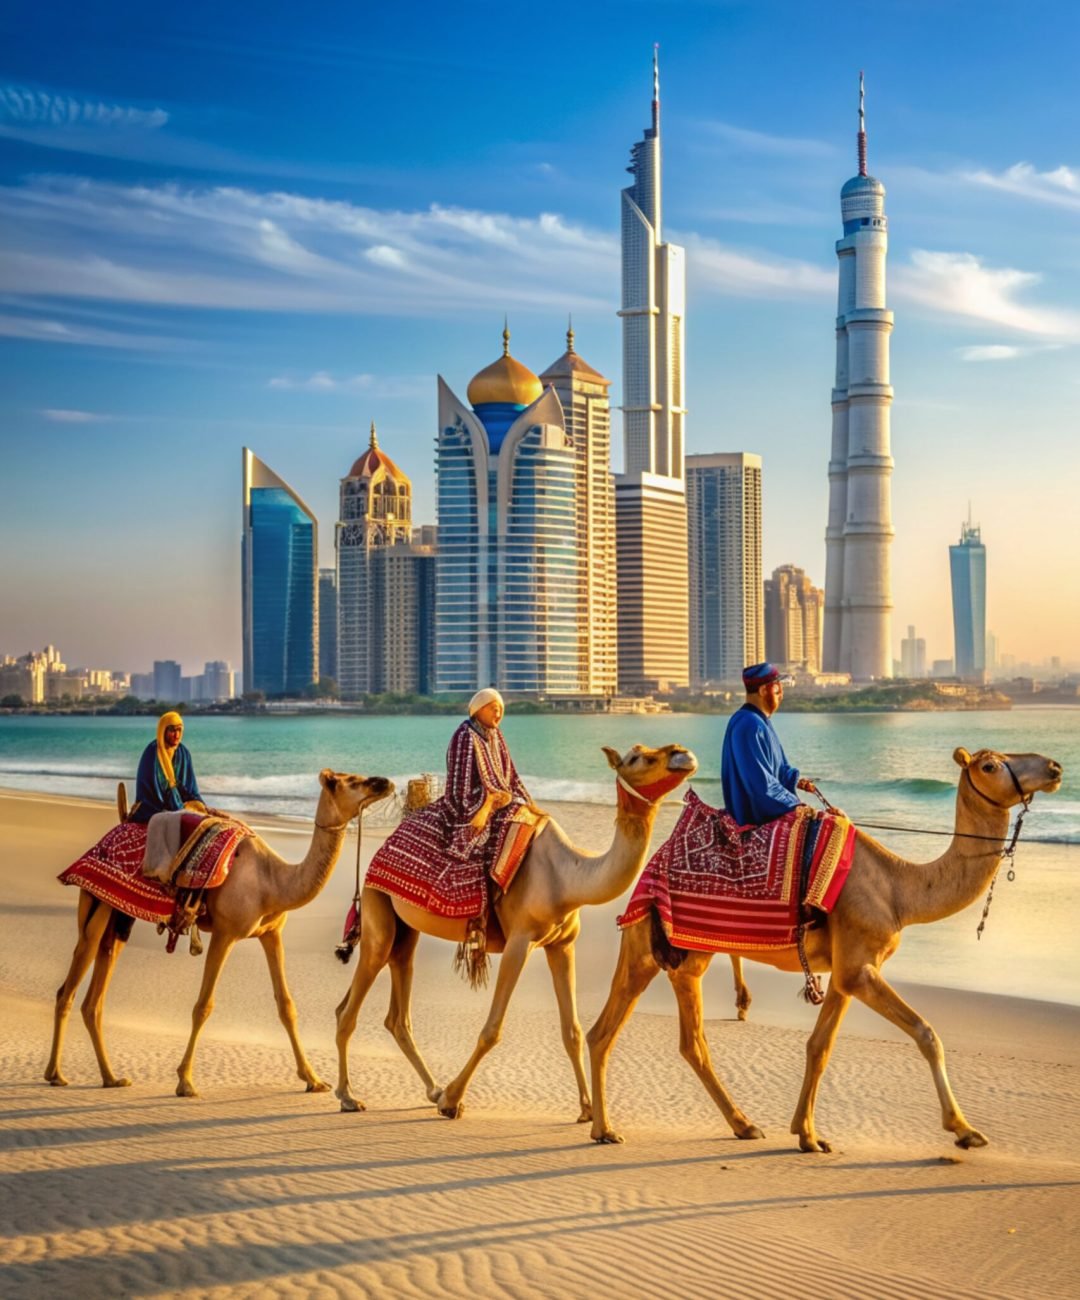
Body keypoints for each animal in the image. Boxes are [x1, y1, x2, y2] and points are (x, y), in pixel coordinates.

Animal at [45, 770, 393, 1097]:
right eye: (343, 781)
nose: (384, 782)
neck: (273, 882)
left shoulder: (271, 934)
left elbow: (287, 1005)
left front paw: (314, 1079)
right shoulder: (225, 933)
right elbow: (204, 1006)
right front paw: (185, 1081)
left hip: (120, 917)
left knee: (94, 997)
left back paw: (111, 1077)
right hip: (97, 903)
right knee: (70, 984)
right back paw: (56, 1074)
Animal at [334, 742, 697, 1121]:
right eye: (637, 757)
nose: (681, 753)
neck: (567, 878)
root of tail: (377, 854)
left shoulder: (562, 945)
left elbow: (572, 1030)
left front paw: (585, 1110)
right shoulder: (519, 942)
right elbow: (492, 1030)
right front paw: (452, 1101)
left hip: (405, 931)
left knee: (396, 1011)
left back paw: (431, 1089)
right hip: (378, 909)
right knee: (350, 1006)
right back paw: (349, 1096)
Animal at [586, 747, 1063, 1152]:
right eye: (990, 765)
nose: (1055, 767)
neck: (900, 889)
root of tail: (651, 865)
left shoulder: (846, 971)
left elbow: (820, 1046)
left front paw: (808, 1134)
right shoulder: (860, 967)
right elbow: (927, 1033)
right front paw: (964, 1130)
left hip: (674, 954)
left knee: (653, 1036)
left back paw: (738, 1125)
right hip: (662, 949)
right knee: (642, 1035)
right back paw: (610, 1128)